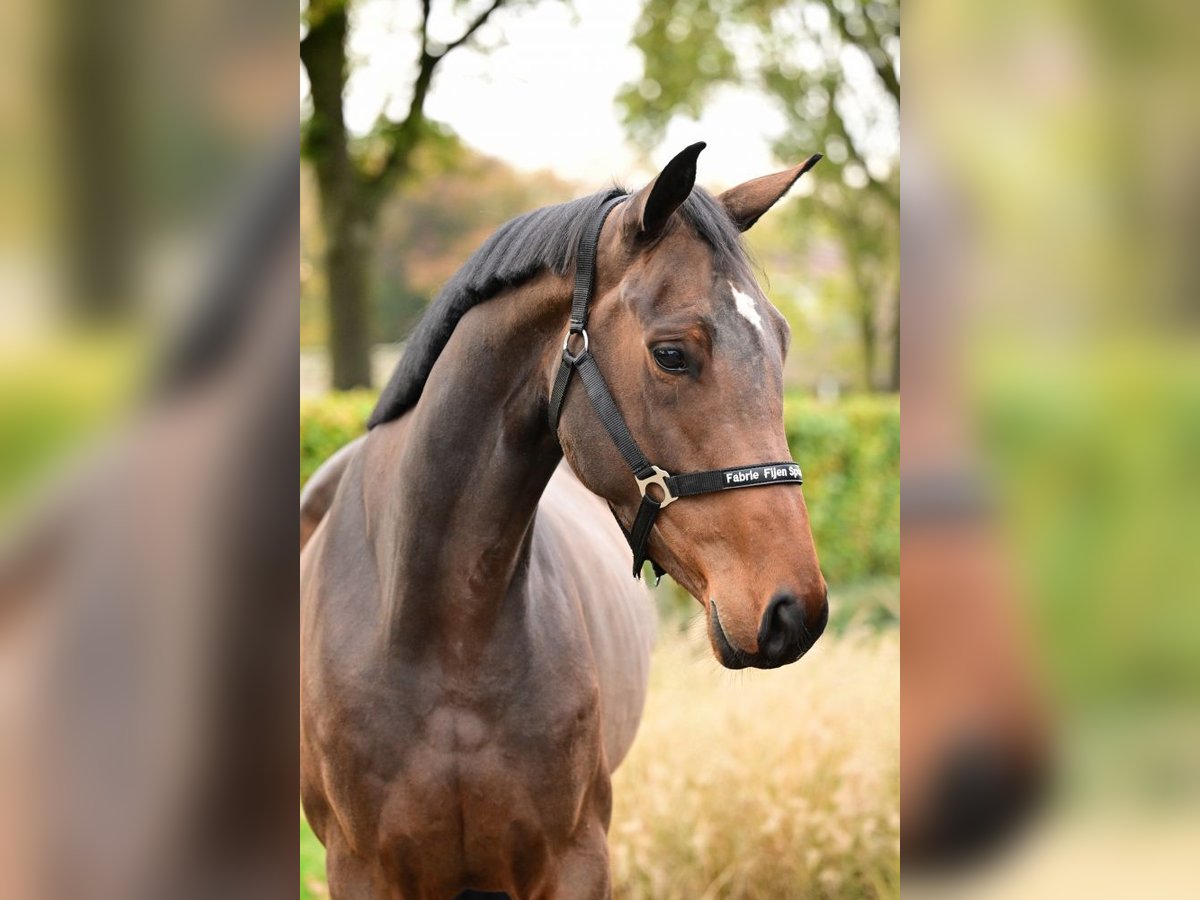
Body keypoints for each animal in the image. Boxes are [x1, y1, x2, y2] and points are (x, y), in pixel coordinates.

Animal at [295, 144, 830, 897]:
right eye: (671, 353)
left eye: (780, 342)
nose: (794, 610)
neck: (441, 631)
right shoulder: (362, 870)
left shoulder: (575, 857)